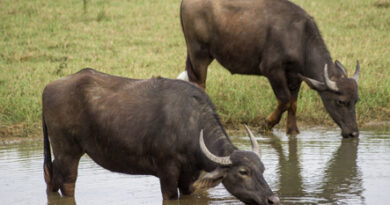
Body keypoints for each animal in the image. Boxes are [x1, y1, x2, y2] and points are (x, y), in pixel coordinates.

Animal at [42, 69, 280, 205]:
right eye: (243, 172)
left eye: (262, 169)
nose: (273, 199)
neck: (190, 125)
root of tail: (49, 87)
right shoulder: (167, 173)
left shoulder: (189, 177)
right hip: (67, 151)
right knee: (67, 183)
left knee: (51, 178)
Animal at [178, 0, 362, 138]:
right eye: (340, 101)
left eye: (356, 100)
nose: (353, 133)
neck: (300, 38)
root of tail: (185, 2)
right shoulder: (272, 71)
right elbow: (285, 100)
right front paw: (266, 124)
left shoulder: (295, 76)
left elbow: (293, 104)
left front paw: (292, 131)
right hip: (199, 54)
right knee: (199, 84)